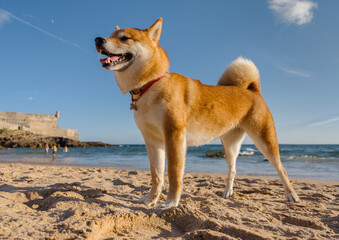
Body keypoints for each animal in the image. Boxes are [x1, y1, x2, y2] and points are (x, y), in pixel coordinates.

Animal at [95, 18, 300, 208]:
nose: (98, 39)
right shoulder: (152, 141)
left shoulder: (174, 136)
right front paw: (150, 200)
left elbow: (174, 175)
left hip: (264, 141)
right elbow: (156, 176)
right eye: (111, 35)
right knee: (233, 169)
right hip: (229, 145)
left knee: (281, 169)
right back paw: (227, 192)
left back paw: (292, 195)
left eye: (124, 38)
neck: (151, 84)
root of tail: (253, 90)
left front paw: (170, 203)